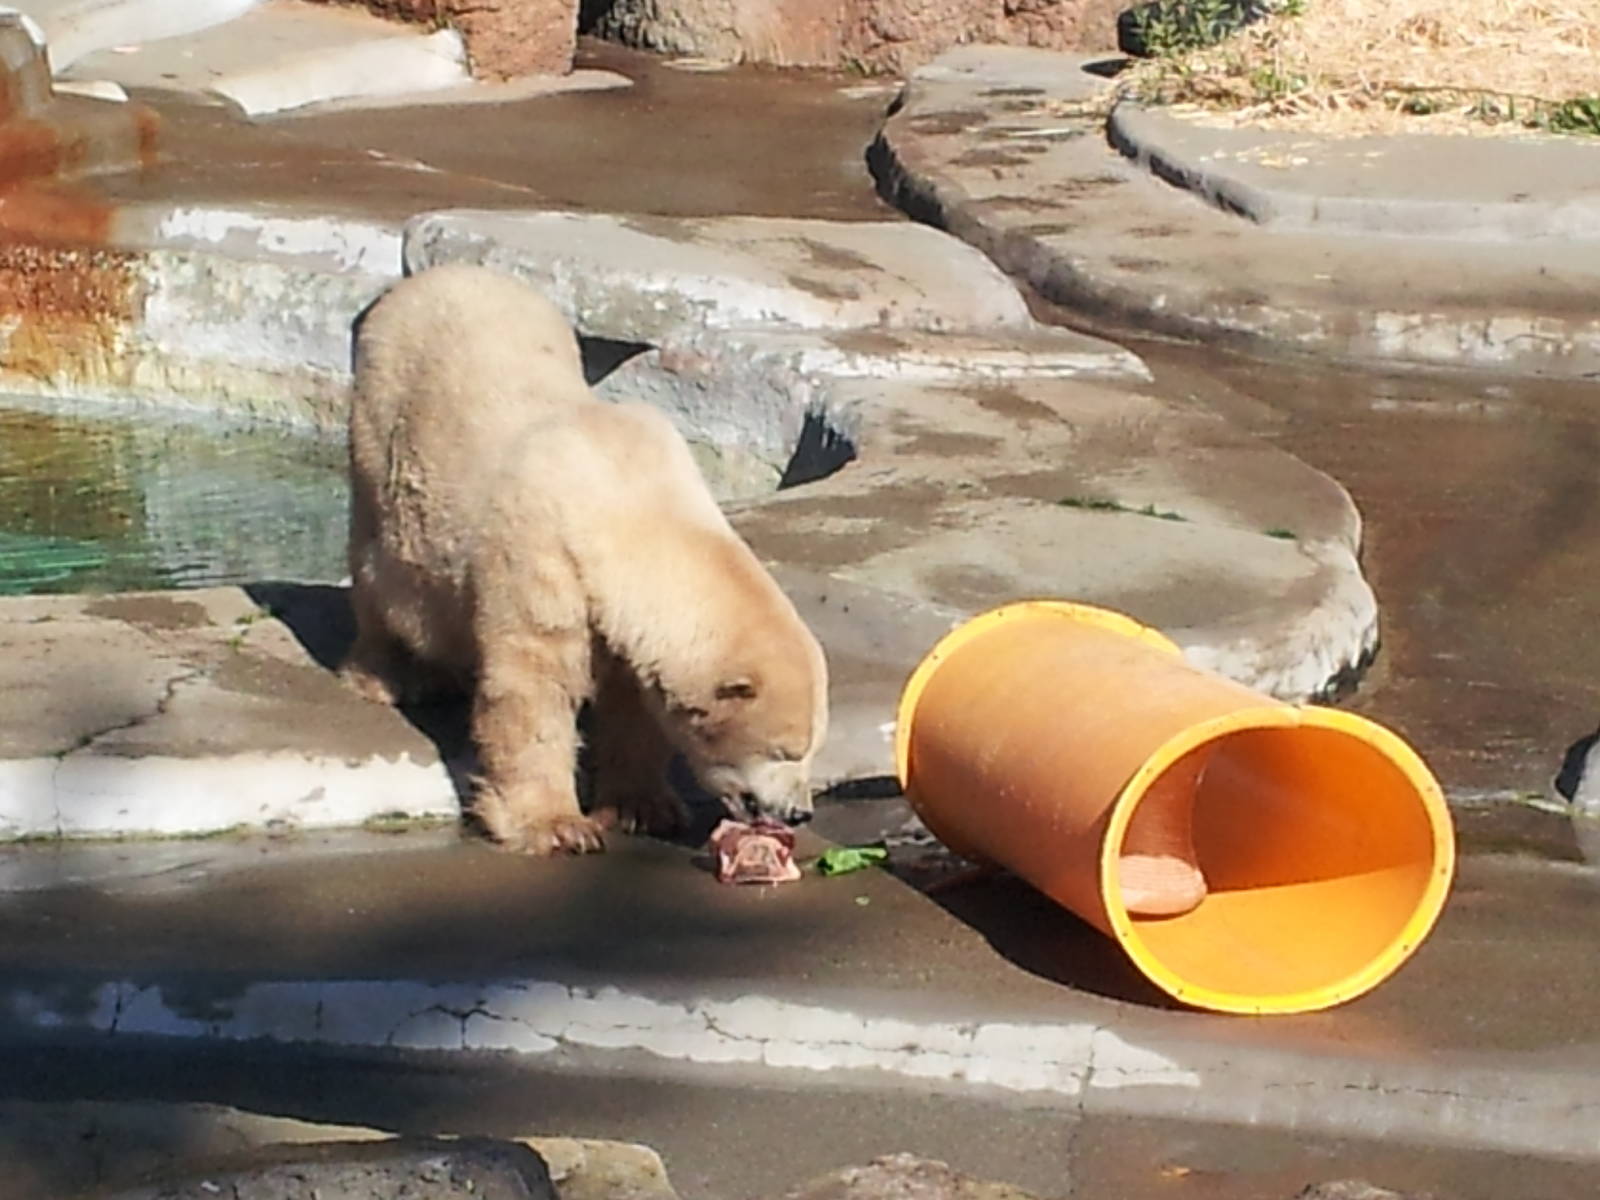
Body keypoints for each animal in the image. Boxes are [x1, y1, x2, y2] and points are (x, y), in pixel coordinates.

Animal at [341, 263, 829, 855]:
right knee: (377, 559)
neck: (630, 497)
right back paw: (390, 675)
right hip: (383, 422)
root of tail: (429, 278)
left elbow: (633, 701)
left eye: (813, 748)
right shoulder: (542, 559)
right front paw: (557, 825)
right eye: (784, 750)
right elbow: (535, 689)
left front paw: (644, 806)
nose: (800, 812)